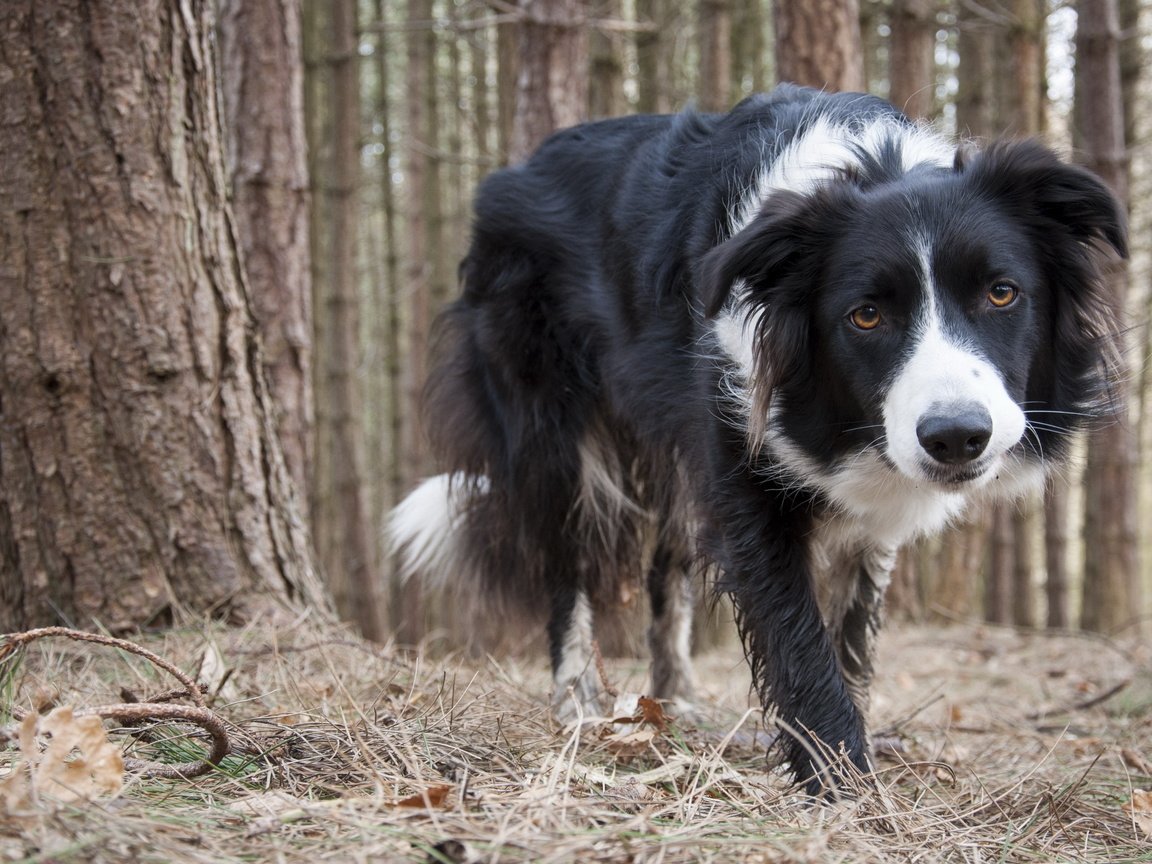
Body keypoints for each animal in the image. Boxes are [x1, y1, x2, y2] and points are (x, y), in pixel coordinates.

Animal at [389, 84, 1124, 797]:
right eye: (866, 316)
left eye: (1002, 293)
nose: (957, 438)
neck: (874, 165)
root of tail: (508, 175)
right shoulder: (741, 440)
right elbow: (792, 623)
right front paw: (842, 784)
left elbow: (854, 621)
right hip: (544, 406)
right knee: (565, 554)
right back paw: (581, 708)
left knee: (668, 561)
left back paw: (674, 705)